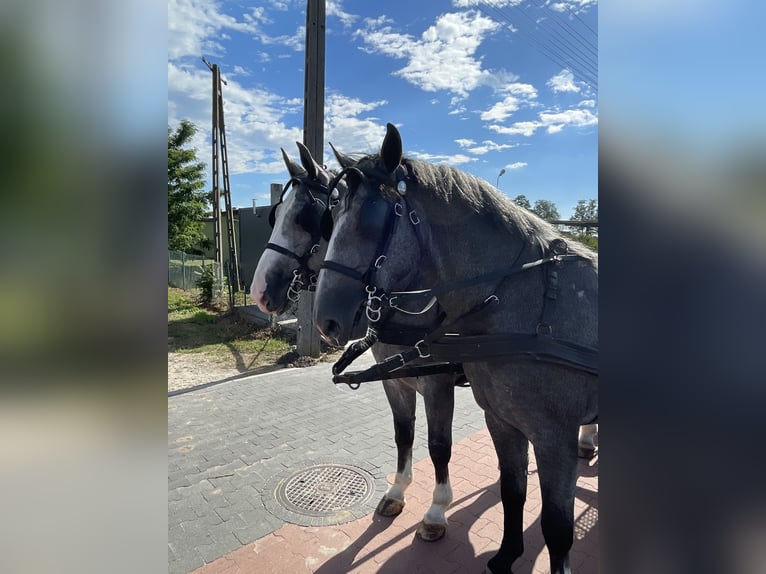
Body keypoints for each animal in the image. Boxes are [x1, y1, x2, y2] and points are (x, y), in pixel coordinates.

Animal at [252, 142, 462, 544]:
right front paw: (396, 491)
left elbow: (439, 447)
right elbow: (403, 435)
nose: (258, 291)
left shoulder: (438, 384)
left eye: (306, 218)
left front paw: (437, 510)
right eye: (276, 216)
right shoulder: (395, 382)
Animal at [314, 124, 600, 572]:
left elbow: (556, 527)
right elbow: (509, 490)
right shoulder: (497, 418)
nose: (325, 320)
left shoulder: (552, 436)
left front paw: (435, 514)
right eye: (329, 217)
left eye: (370, 219)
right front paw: (504, 556)